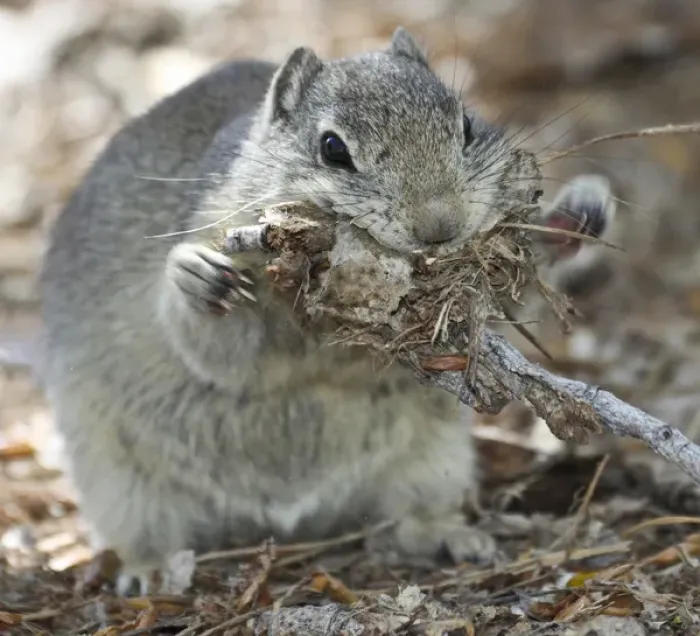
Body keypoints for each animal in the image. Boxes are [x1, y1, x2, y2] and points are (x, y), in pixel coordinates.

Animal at [38, 27, 615, 594]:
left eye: (467, 125)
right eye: (333, 149)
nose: (439, 226)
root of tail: (288, 523)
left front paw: (574, 216)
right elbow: (222, 354)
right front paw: (198, 276)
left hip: (433, 462)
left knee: (409, 521)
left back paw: (449, 535)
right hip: (119, 484)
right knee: (144, 533)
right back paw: (150, 569)